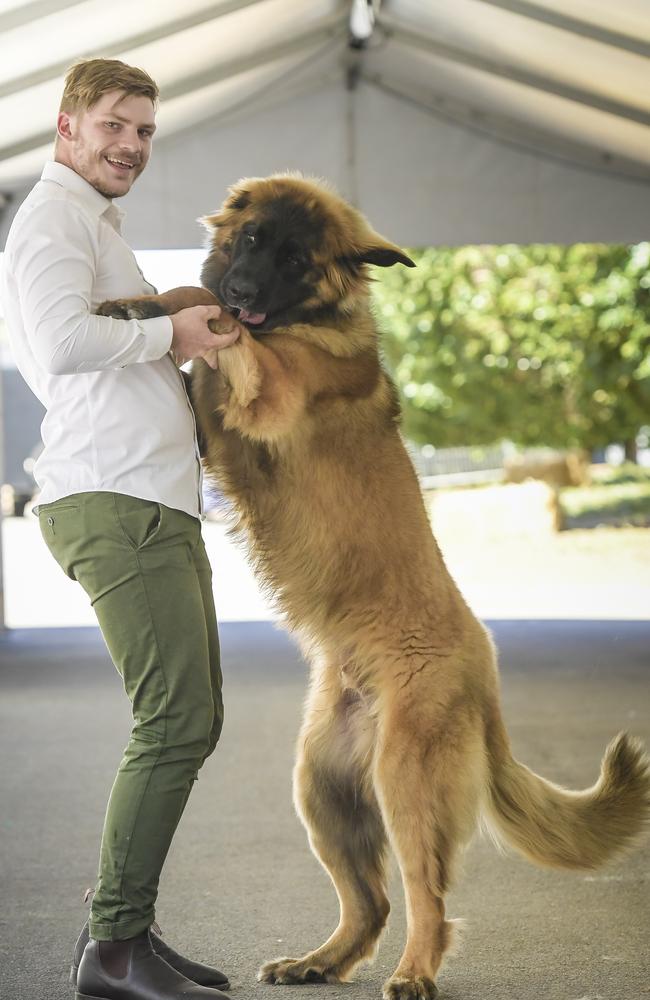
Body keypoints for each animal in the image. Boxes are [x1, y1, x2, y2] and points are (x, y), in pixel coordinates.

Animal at [97, 176, 648, 1000]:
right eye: (254, 239)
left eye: (297, 259)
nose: (246, 289)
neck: (305, 322)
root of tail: (483, 671)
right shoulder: (216, 420)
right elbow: (196, 307)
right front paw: (138, 304)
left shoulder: (269, 389)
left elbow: (217, 320)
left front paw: (173, 308)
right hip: (321, 788)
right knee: (372, 901)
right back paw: (317, 961)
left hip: (404, 782)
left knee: (427, 897)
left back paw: (414, 972)